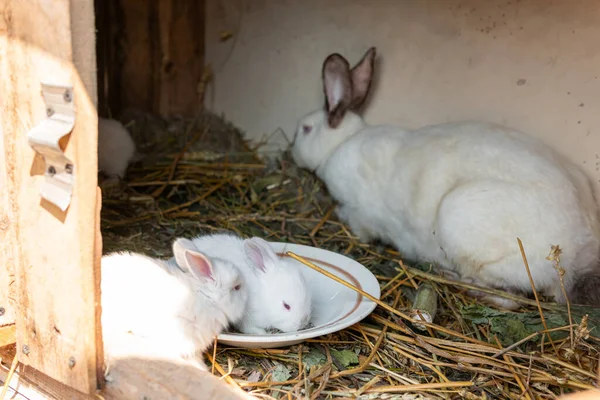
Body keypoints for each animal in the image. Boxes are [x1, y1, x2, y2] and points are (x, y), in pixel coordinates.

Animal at [172, 233, 314, 336]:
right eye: (286, 306)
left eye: (308, 299)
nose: (303, 323)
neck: (263, 298)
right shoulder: (246, 317)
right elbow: (249, 328)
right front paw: (262, 333)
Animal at [290, 47, 600, 310]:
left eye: (305, 129)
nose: (291, 151)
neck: (340, 143)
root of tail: (580, 249)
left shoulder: (360, 217)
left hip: (462, 220)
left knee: (511, 298)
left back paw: (458, 281)